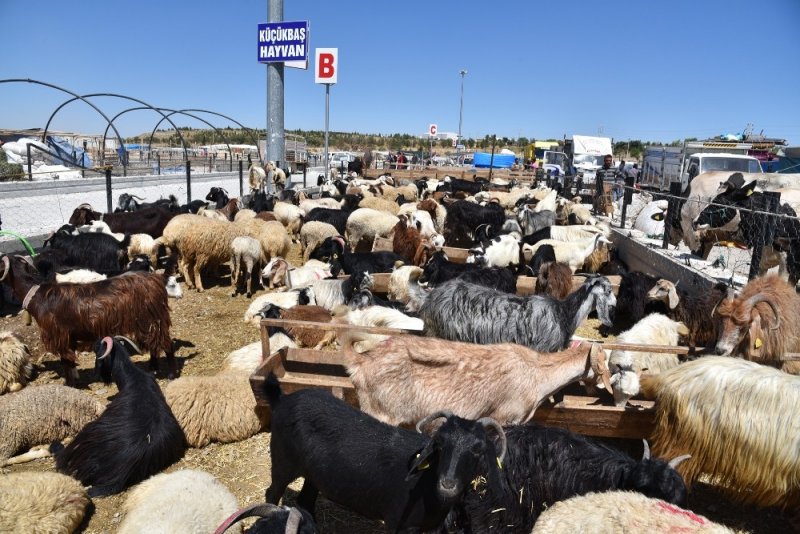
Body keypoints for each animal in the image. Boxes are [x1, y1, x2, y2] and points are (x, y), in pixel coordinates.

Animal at [0, 256, 175, 390]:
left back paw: (171, 374)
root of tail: (157, 279)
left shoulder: (59, 336)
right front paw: (75, 381)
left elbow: (66, 361)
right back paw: (153, 368)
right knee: (154, 343)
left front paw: (70, 385)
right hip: (147, 321)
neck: (38, 296)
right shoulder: (68, 337)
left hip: (153, 317)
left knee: (165, 343)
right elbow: (70, 362)